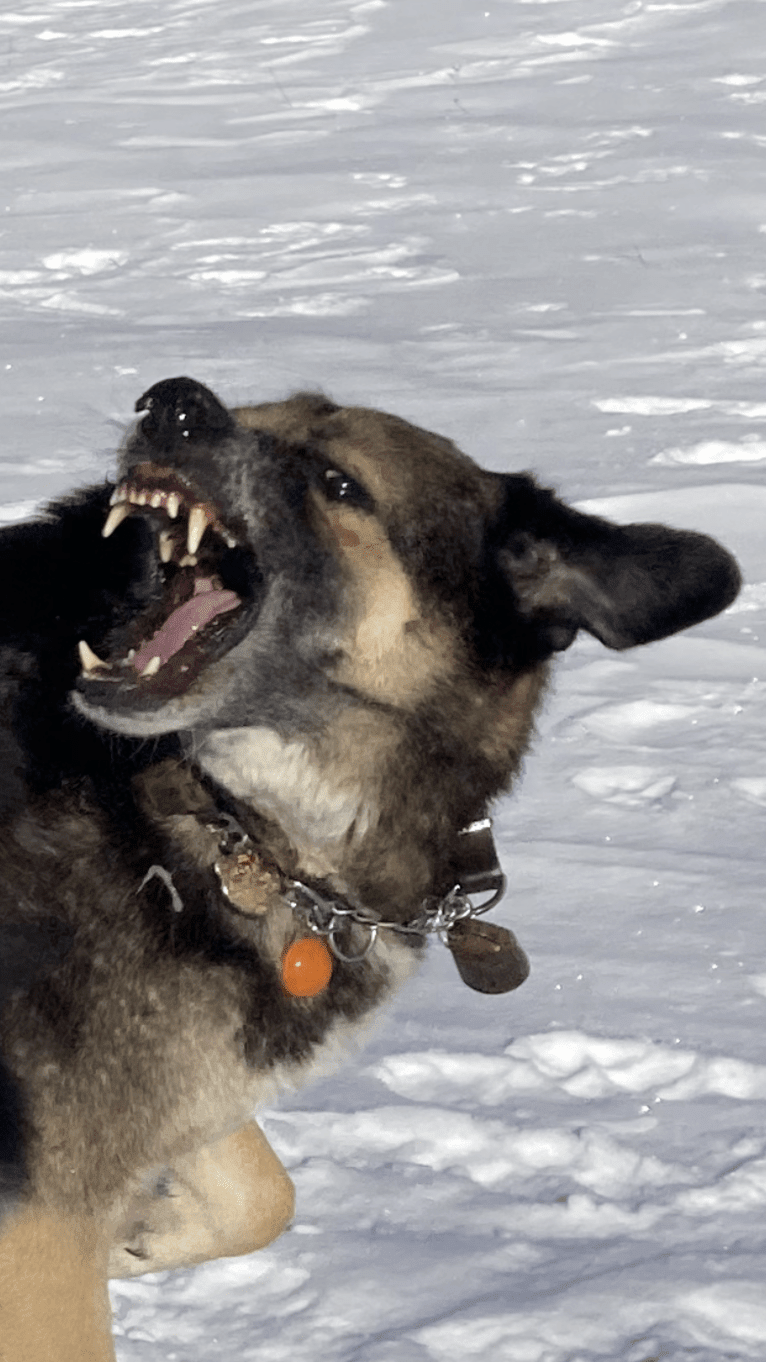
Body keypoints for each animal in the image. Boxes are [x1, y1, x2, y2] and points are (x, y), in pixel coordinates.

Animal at [0, 378, 741, 1356]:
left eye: (338, 482)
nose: (172, 401)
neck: (234, 823)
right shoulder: (47, 1195)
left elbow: (263, 1194)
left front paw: (144, 1236)